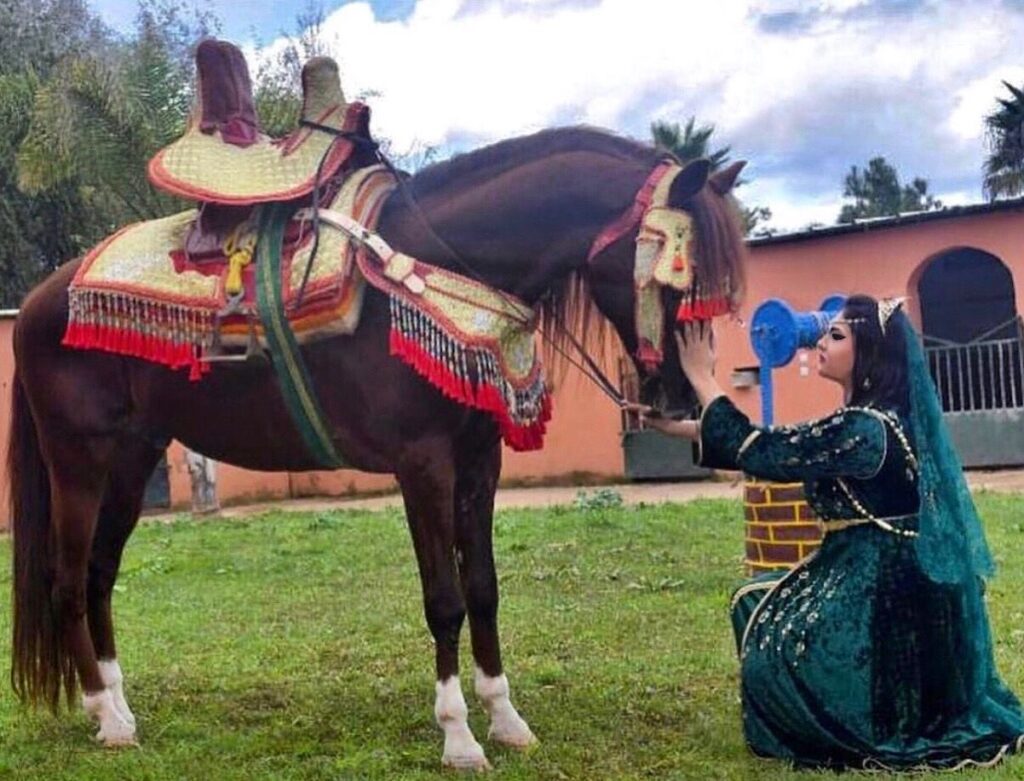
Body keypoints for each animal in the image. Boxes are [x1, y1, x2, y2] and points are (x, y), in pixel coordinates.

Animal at [6, 128, 745, 769]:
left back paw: (120, 706)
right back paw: (104, 716)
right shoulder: (423, 463)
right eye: (681, 274)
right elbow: (444, 598)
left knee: (99, 575)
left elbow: (483, 589)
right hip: (79, 460)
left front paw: (506, 719)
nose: (683, 401)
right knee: (67, 580)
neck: (429, 274)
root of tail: (40, 299)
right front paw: (459, 737)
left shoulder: (480, 463)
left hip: (134, 459)